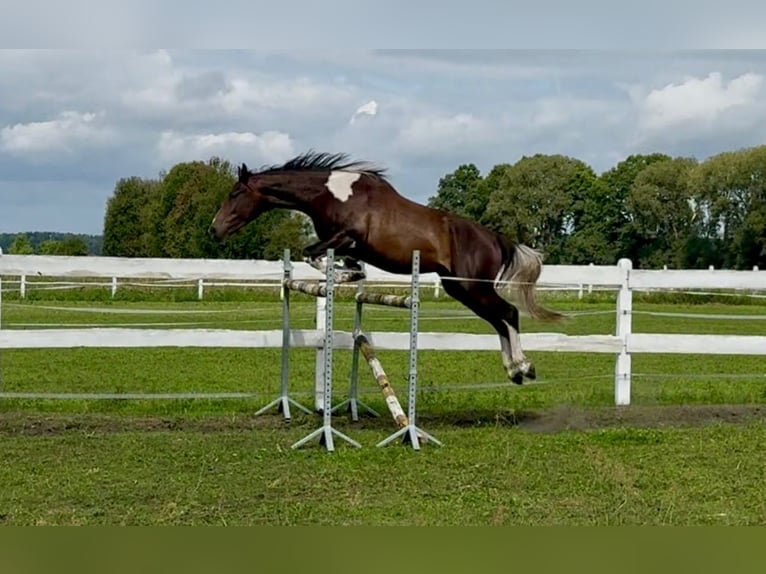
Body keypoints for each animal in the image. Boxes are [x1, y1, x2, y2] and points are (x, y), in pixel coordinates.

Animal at [210, 151, 564, 385]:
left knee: (508, 314)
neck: (331, 194)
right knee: (498, 321)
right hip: (461, 288)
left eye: (235, 193)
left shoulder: (346, 237)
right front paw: (349, 274)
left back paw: (523, 367)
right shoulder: (346, 245)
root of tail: (494, 237)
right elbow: (336, 261)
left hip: (473, 287)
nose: (214, 230)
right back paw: (513, 370)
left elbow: (311, 253)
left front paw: (341, 274)